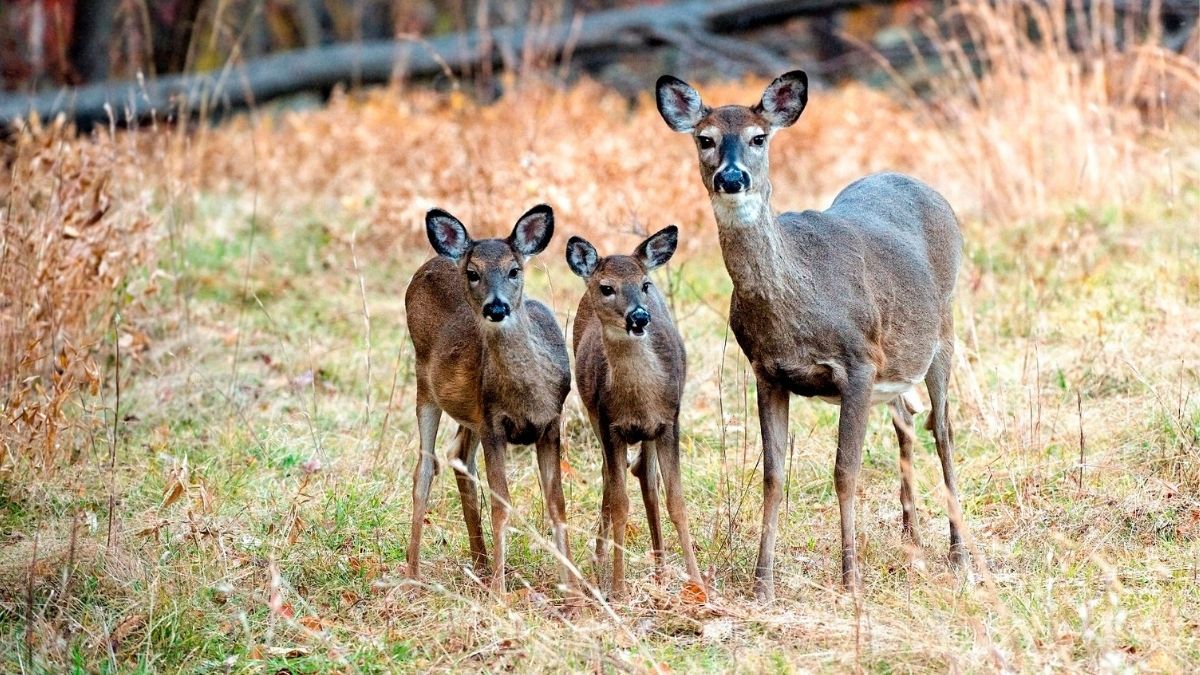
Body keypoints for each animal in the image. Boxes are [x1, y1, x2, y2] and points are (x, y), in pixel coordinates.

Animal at [403, 205, 576, 593]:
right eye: (473, 273)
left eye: (514, 270)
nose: (496, 308)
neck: (528, 398)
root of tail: (431, 261)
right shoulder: (493, 424)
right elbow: (502, 506)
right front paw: (499, 590)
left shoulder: (550, 423)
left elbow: (556, 503)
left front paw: (576, 588)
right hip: (425, 384)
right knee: (424, 470)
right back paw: (412, 574)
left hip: (469, 411)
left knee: (457, 455)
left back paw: (479, 561)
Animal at [566, 224, 705, 593]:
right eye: (607, 288)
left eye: (644, 284)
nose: (640, 316)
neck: (640, 401)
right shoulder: (609, 425)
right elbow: (620, 505)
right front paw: (618, 587)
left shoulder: (669, 421)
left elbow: (676, 502)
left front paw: (699, 584)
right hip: (593, 415)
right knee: (611, 477)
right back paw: (602, 559)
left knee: (646, 477)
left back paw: (660, 569)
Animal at [657, 68, 964, 595]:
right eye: (705, 139)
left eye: (759, 138)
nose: (731, 178)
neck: (795, 311)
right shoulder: (766, 371)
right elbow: (773, 474)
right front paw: (762, 583)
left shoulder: (859, 362)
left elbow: (845, 472)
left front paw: (850, 578)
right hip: (897, 364)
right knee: (907, 417)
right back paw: (912, 539)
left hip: (942, 329)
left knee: (941, 427)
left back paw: (959, 552)